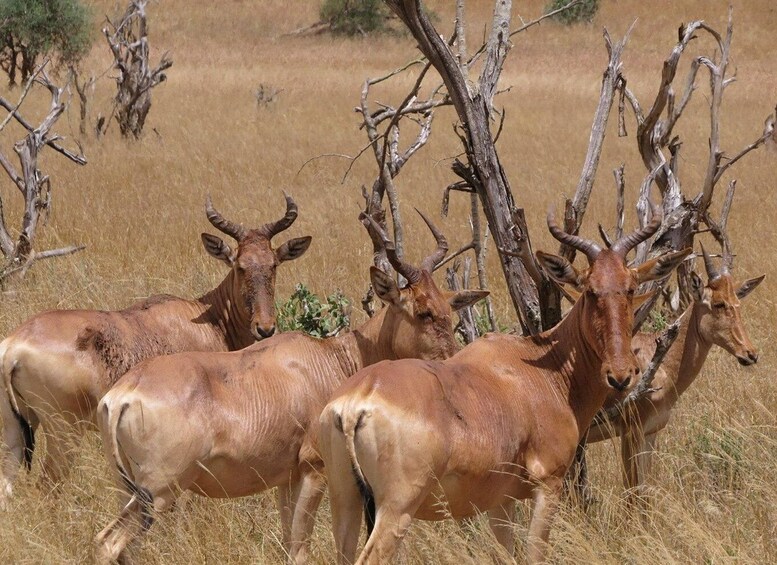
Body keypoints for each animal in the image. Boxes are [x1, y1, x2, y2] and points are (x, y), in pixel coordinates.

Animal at [0, 193, 310, 498]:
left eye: (273, 264)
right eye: (239, 265)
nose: (265, 328)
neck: (205, 319)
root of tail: (14, 345)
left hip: (16, 429)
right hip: (63, 431)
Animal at [95, 212, 484, 564]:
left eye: (448, 307)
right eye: (422, 312)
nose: (452, 364)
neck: (328, 358)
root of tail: (121, 396)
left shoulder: (286, 479)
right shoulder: (313, 471)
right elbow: (299, 551)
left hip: (127, 487)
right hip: (159, 490)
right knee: (107, 543)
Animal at [318, 209, 688, 560]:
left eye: (630, 287)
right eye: (590, 289)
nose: (620, 374)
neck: (539, 369)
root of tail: (356, 402)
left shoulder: (500, 502)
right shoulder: (548, 484)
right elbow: (535, 553)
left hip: (345, 502)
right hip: (397, 509)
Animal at [576, 247, 764, 498]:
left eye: (737, 302)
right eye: (718, 304)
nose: (750, 354)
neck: (654, 358)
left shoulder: (650, 433)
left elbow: (643, 491)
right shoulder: (630, 432)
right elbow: (632, 492)